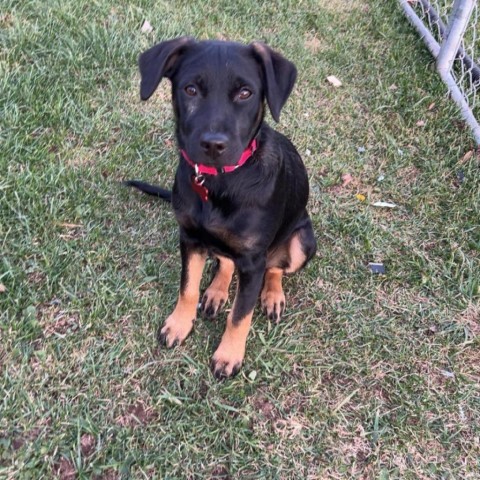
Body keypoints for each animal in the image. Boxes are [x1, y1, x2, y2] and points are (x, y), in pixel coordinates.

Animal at [125, 36, 316, 378]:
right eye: (190, 89)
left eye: (245, 93)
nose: (213, 145)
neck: (219, 183)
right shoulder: (189, 238)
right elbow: (187, 287)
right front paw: (179, 324)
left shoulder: (253, 261)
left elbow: (240, 314)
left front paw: (228, 355)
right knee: (226, 260)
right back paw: (216, 291)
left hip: (302, 241)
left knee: (276, 267)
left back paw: (272, 295)